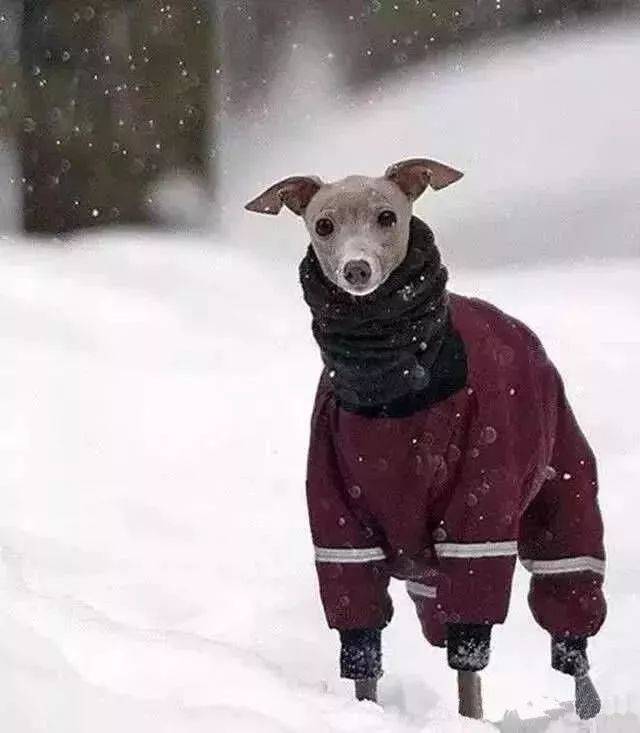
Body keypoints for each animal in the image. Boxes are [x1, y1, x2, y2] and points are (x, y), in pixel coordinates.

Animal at [244, 160, 604, 720]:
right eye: (323, 225)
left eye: (387, 216)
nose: (357, 270)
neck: (391, 387)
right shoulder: (340, 529)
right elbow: (361, 637)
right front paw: (365, 712)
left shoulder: (477, 520)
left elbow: (471, 649)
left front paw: (469, 721)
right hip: (426, 574)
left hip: (564, 498)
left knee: (568, 603)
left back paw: (586, 704)